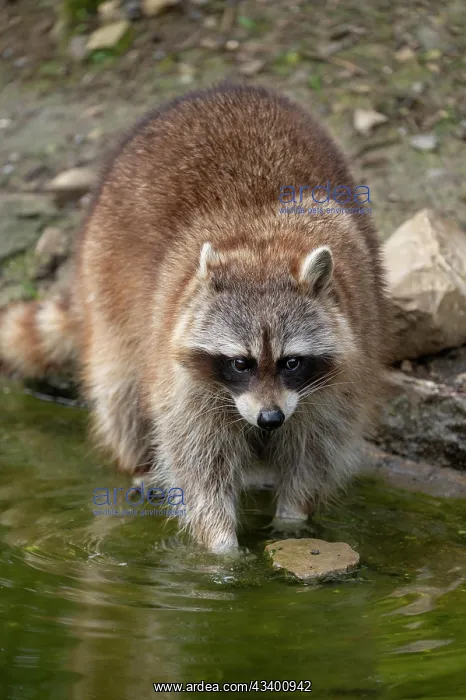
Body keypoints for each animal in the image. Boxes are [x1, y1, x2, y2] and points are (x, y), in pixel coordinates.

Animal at [0, 84, 390, 552]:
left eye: (291, 362)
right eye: (240, 363)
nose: (270, 420)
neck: (264, 248)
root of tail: (223, 90)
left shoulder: (344, 365)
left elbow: (315, 449)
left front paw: (292, 520)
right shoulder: (183, 373)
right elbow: (197, 458)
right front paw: (221, 546)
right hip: (106, 272)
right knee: (120, 387)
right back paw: (138, 461)